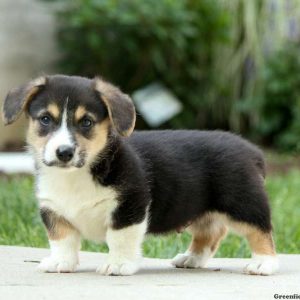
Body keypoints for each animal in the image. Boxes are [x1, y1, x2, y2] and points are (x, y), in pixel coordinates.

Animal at [1, 75, 278, 276]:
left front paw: (118, 265)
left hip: (243, 205)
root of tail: (252, 151)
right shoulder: (54, 211)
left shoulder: (129, 206)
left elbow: (119, 239)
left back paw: (263, 264)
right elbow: (62, 240)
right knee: (211, 233)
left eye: (86, 122)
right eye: (45, 119)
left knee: (261, 231)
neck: (77, 174)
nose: (64, 152)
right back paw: (191, 258)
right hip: (198, 208)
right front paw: (61, 263)